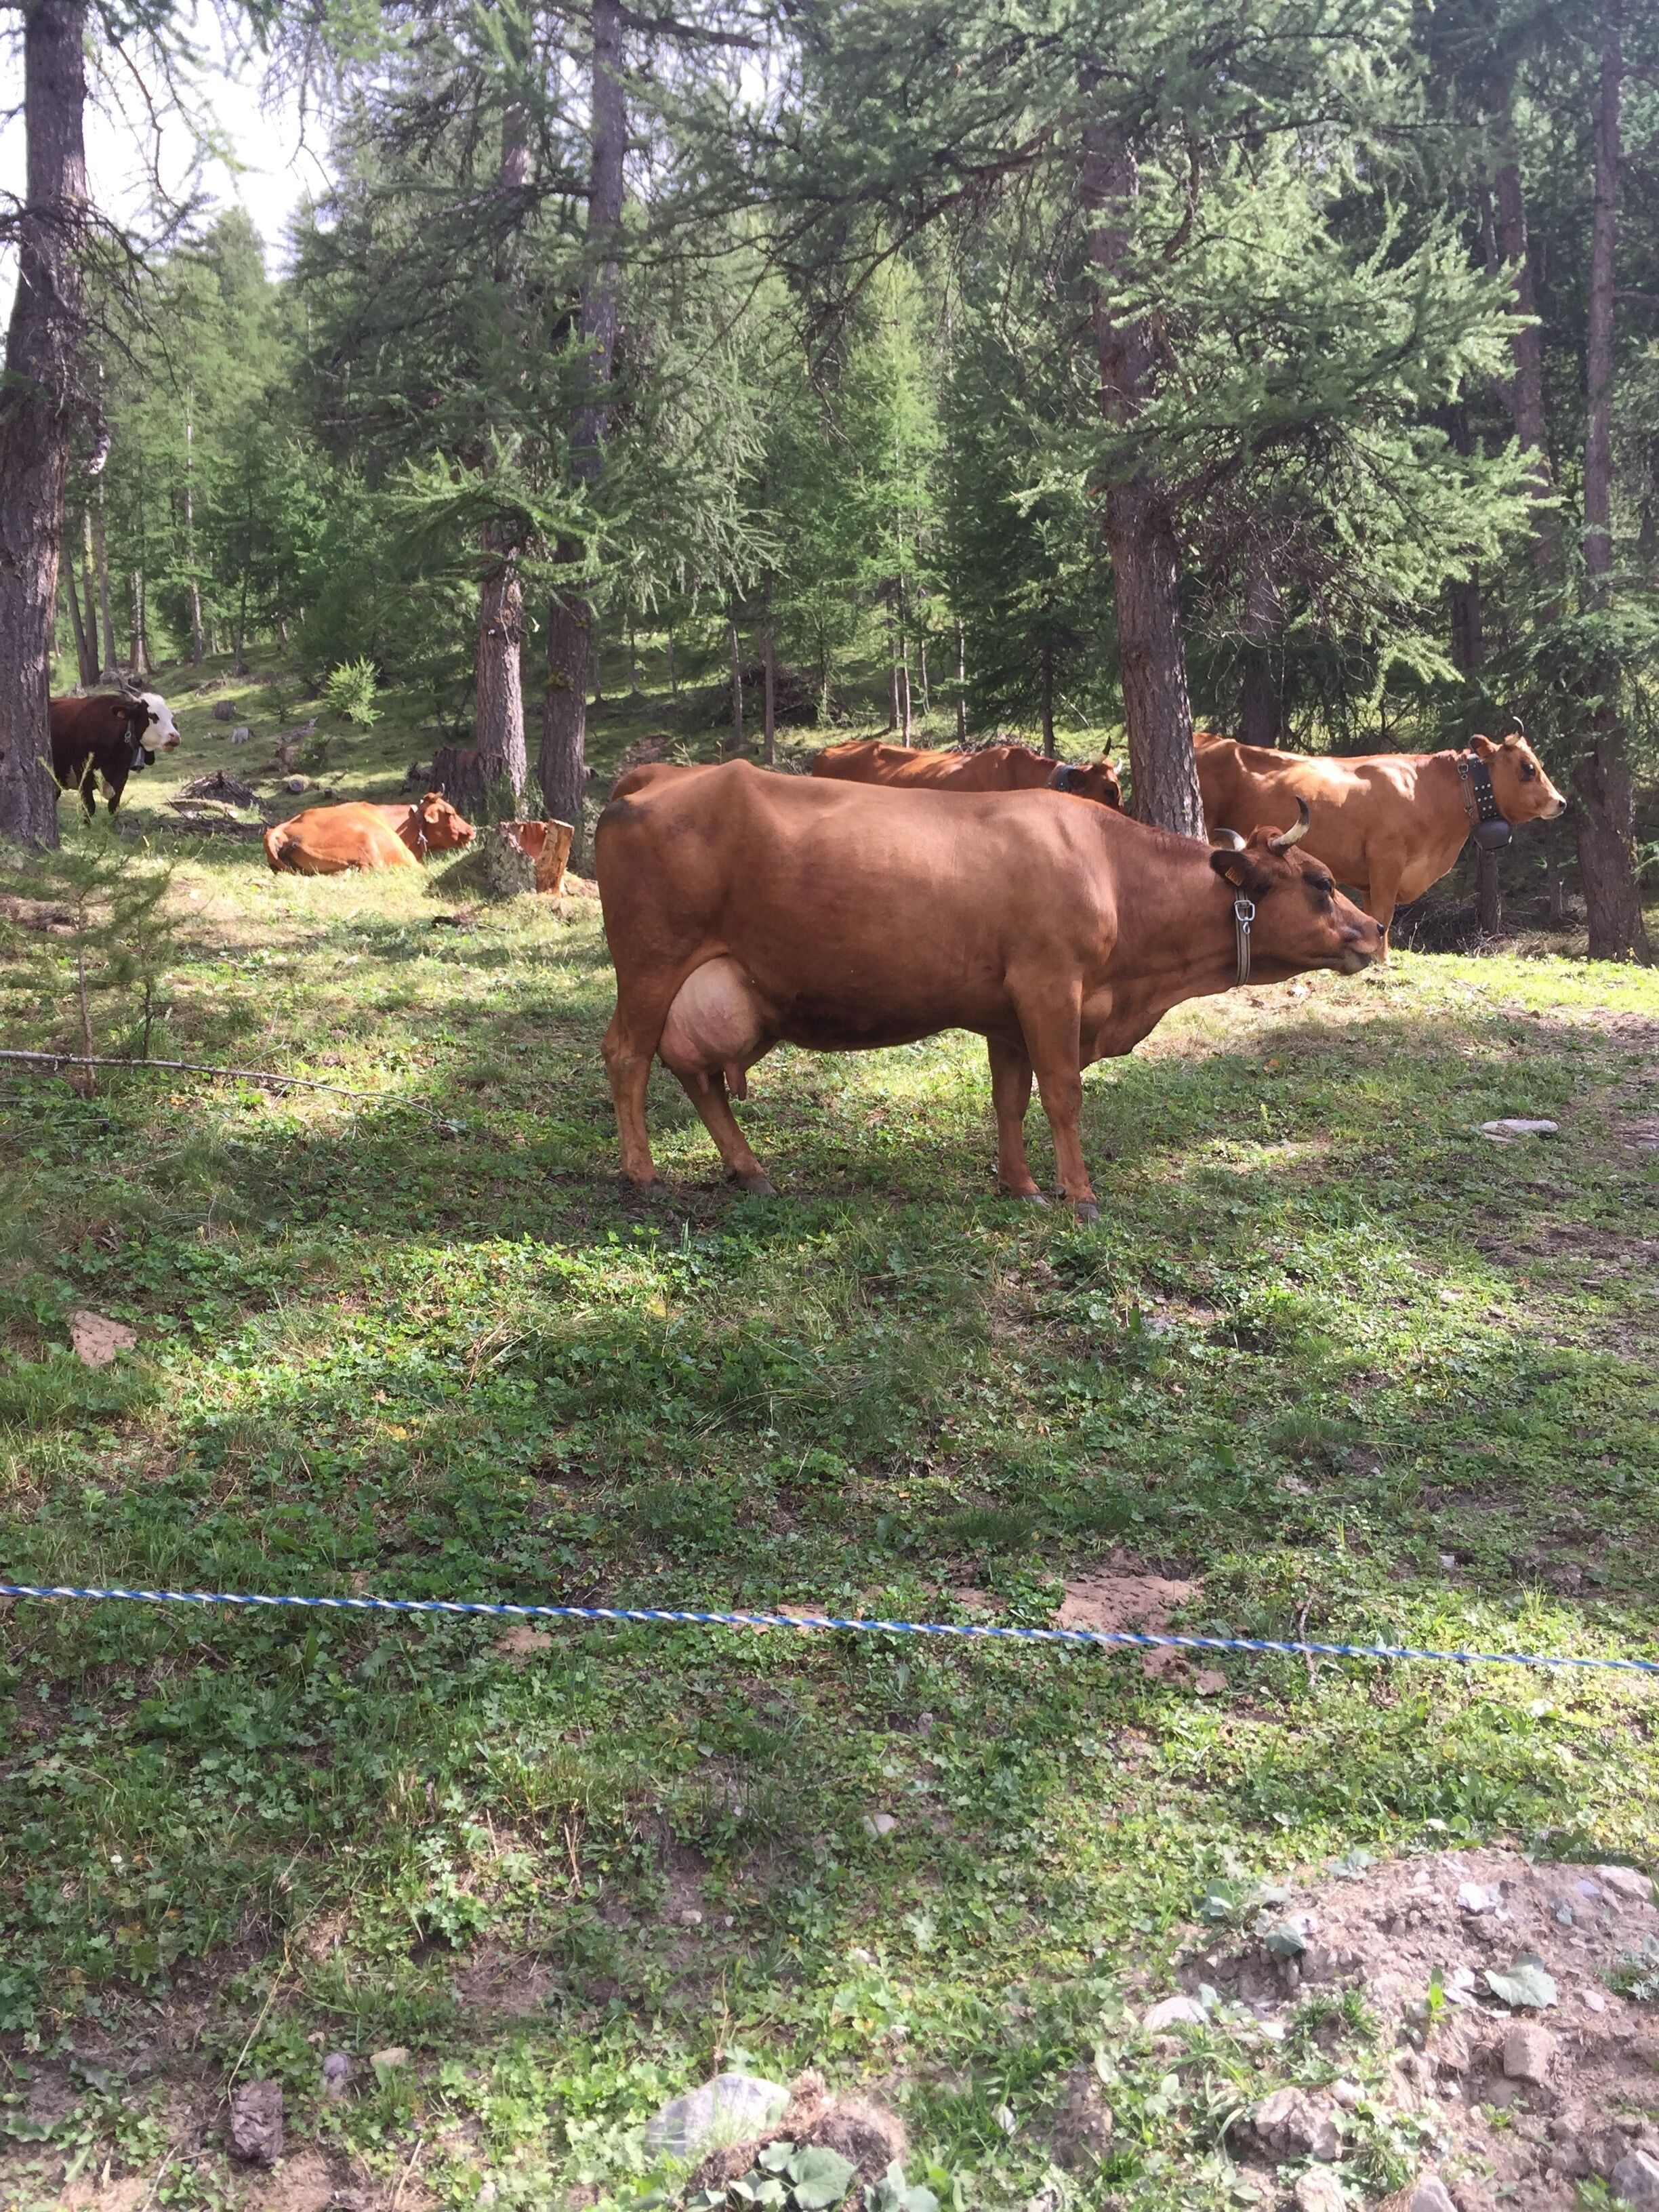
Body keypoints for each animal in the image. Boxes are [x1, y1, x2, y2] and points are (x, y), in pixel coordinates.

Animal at [47, 690, 180, 816]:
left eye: (171, 717)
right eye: (153, 716)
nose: (175, 736)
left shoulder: (121, 775)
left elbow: (114, 807)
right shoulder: (83, 771)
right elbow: (89, 807)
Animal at [595, 761, 1381, 1219]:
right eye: (1320, 880)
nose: (1375, 930)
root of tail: (654, 775)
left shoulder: (1008, 1015)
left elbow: (1011, 1100)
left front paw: (1021, 1186)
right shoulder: (1050, 987)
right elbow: (1062, 1094)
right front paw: (1079, 1194)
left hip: (713, 986)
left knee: (697, 1075)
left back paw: (749, 1169)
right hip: (651, 963)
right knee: (627, 1054)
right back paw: (641, 1172)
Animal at [1194, 730, 1567, 941]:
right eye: (1528, 768)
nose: (1560, 802)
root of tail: (1204, 736)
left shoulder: (1369, 878)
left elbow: (1374, 916)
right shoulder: (1387, 863)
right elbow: (1384, 918)